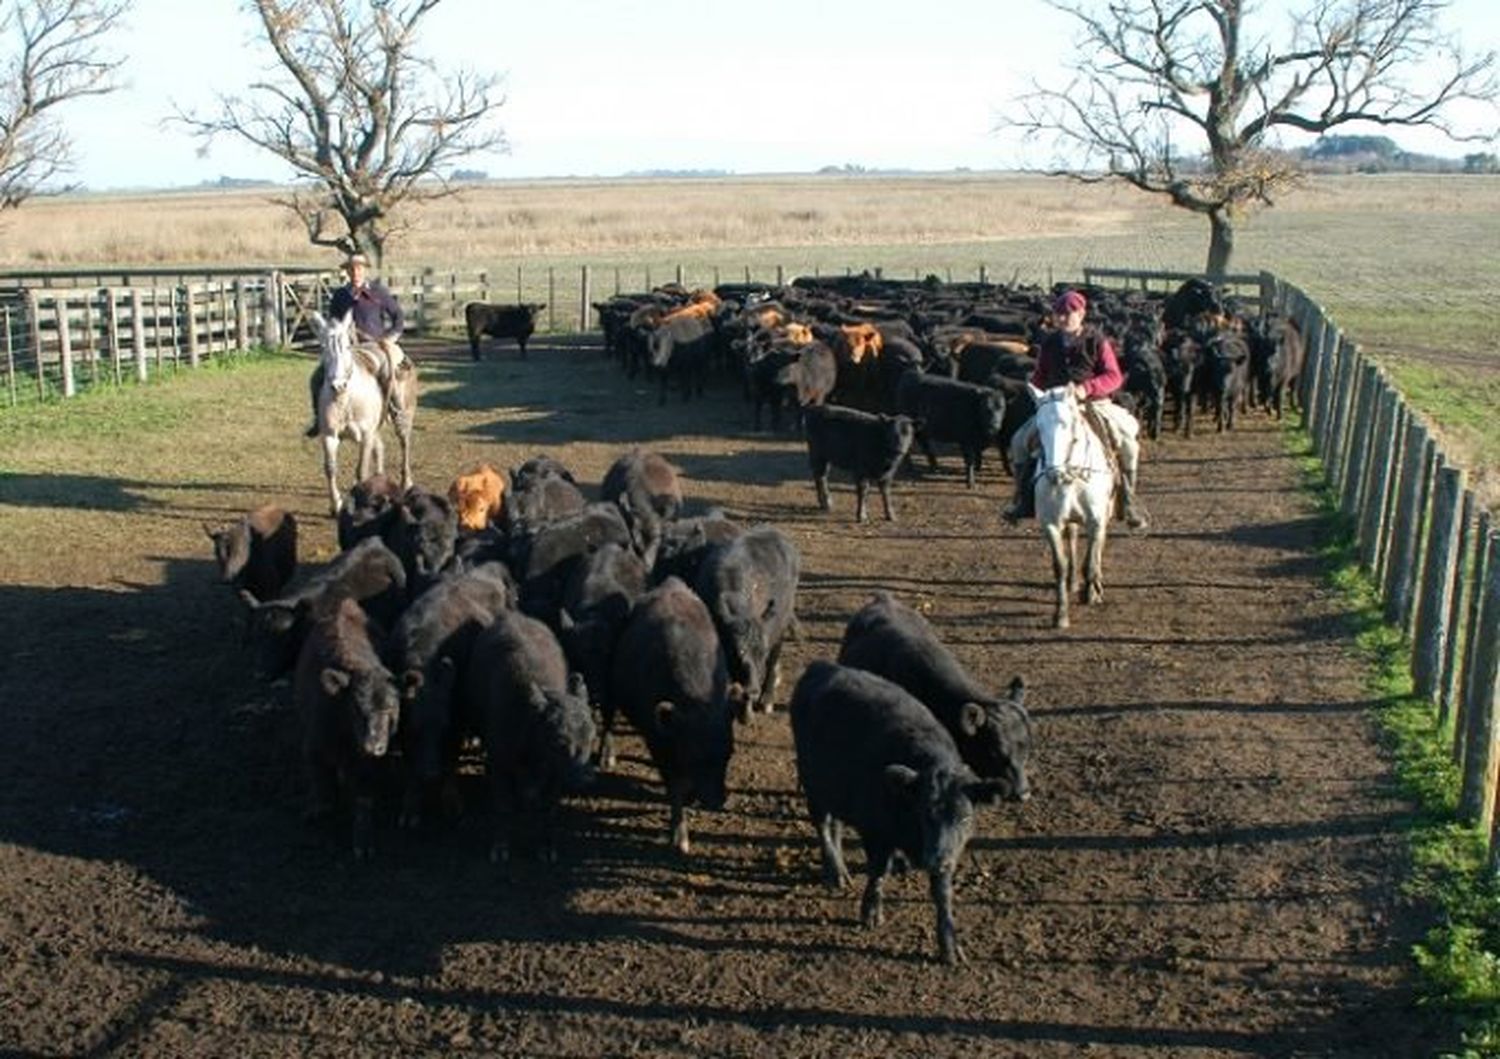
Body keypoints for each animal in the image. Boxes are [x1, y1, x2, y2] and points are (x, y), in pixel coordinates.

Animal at [307, 309, 417, 516]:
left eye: (346, 346)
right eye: (324, 348)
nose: (338, 385)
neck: (346, 401)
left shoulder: (366, 435)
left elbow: (361, 471)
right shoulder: (329, 436)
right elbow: (330, 468)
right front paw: (335, 505)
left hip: (402, 415)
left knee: (404, 443)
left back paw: (406, 482)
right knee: (380, 448)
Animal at [786, 663, 1008, 960]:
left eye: (965, 818)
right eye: (925, 813)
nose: (938, 860)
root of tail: (821, 666)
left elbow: (943, 893)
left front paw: (950, 946)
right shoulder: (876, 832)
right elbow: (879, 871)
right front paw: (870, 913)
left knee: (836, 825)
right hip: (813, 783)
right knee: (822, 825)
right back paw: (835, 873)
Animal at [1032, 381, 1116, 624]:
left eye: (1068, 424)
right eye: (1038, 427)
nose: (1054, 474)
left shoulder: (1096, 520)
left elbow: (1090, 561)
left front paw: (1090, 593)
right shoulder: (1050, 524)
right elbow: (1059, 565)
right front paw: (1060, 614)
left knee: (1098, 545)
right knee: (1072, 537)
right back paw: (1072, 582)